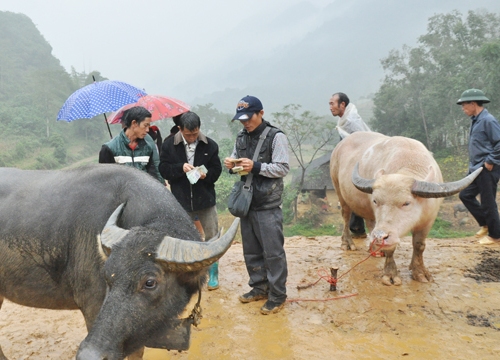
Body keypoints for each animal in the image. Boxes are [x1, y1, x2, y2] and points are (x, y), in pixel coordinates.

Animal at [332, 132, 480, 286]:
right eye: (376, 201)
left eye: (406, 203)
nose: (380, 236)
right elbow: (391, 248)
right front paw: (390, 274)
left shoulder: (428, 221)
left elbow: (419, 245)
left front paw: (420, 272)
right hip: (339, 190)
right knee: (346, 216)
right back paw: (348, 243)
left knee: (370, 222)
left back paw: (375, 250)